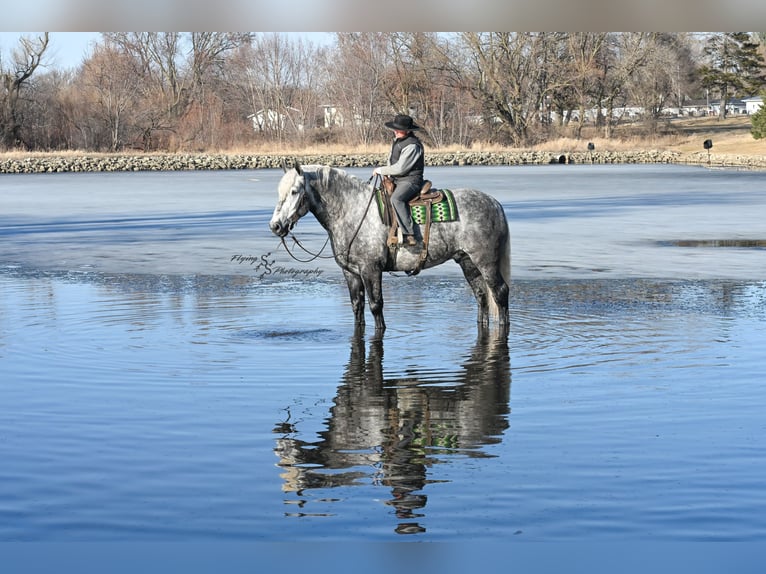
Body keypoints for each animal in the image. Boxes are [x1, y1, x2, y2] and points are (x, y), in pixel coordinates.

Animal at [269, 160, 510, 335]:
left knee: (499, 292)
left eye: (294, 191)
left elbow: (376, 306)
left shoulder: (371, 269)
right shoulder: (350, 272)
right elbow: (357, 307)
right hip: (467, 261)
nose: (276, 226)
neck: (353, 211)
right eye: (279, 192)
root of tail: (495, 204)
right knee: (481, 295)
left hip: (485, 262)